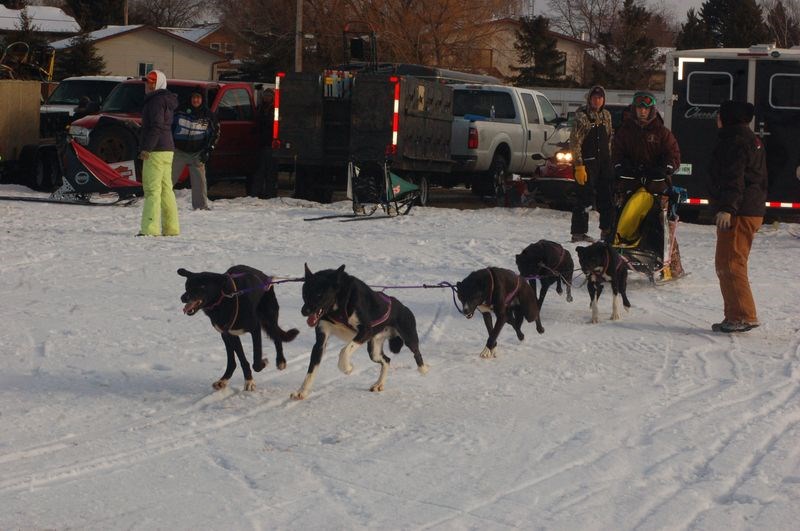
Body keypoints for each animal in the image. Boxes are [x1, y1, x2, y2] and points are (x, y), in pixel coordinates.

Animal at [292, 264, 428, 402]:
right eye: (305, 293)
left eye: (319, 294)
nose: (304, 311)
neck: (337, 307)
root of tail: (404, 307)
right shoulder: (320, 342)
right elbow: (311, 370)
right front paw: (302, 392)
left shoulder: (365, 330)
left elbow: (344, 351)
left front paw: (348, 368)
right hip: (374, 350)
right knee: (387, 360)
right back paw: (379, 384)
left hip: (409, 338)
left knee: (417, 354)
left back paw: (424, 369)